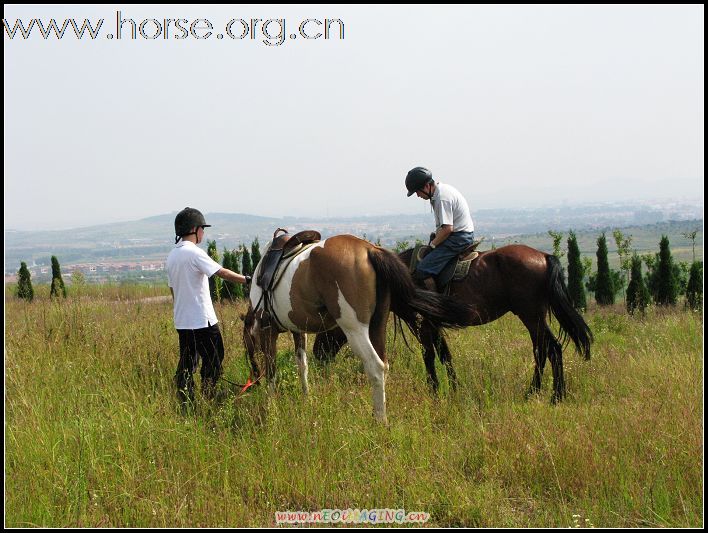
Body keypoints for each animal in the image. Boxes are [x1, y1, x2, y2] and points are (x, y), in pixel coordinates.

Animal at [241, 235, 478, 422]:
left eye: (246, 344)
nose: (253, 377)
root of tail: (370, 251)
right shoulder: (299, 330)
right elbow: (302, 365)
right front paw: (306, 399)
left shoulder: (267, 330)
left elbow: (272, 371)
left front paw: (270, 408)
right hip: (377, 326)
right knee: (384, 365)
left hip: (355, 329)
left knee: (375, 366)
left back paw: (380, 421)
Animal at [312, 243, 596, 402]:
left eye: (329, 323)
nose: (317, 354)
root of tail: (544, 256)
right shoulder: (433, 324)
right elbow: (444, 354)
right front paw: (454, 388)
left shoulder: (424, 324)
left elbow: (429, 355)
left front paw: (435, 390)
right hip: (533, 316)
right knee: (545, 350)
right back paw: (544, 392)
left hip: (531, 315)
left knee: (549, 349)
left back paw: (551, 395)